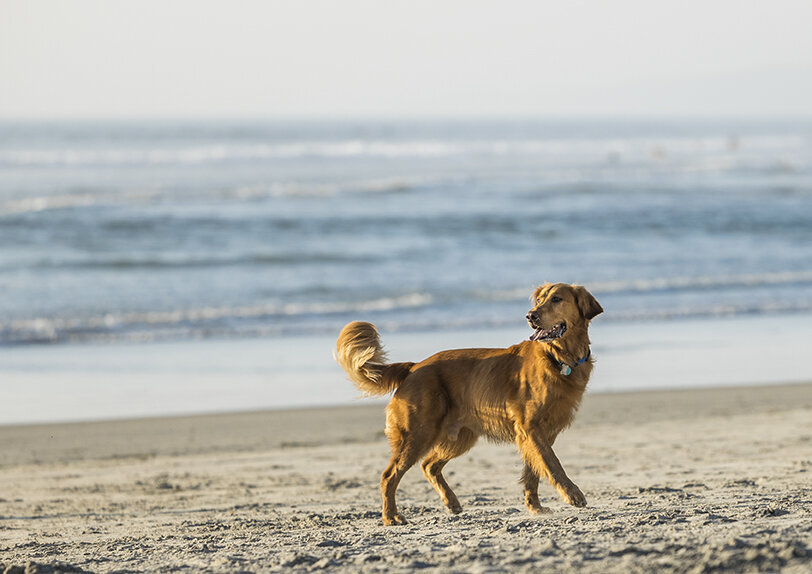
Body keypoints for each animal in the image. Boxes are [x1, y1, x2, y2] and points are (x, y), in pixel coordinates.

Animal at [332, 284, 604, 528]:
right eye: (539, 300)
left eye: (557, 299)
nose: (531, 315)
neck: (557, 358)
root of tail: (414, 367)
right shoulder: (530, 428)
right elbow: (552, 464)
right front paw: (572, 494)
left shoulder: (539, 433)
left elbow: (533, 471)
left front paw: (535, 507)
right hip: (418, 433)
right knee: (389, 475)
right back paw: (391, 517)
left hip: (459, 437)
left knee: (428, 465)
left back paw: (450, 502)